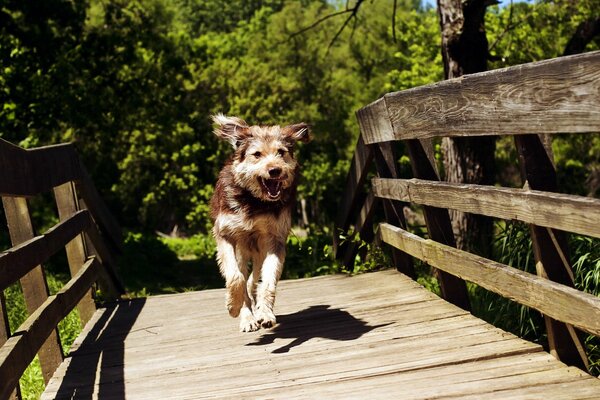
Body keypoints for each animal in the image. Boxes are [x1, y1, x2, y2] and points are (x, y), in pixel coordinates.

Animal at [210, 113, 310, 332]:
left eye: (281, 152)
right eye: (257, 154)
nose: (275, 170)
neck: (255, 202)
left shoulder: (275, 240)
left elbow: (268, 281)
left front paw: (265, 312)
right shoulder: (226, 235)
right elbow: (235, 277)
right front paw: (233, 306)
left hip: (258, 251)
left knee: (253, 281)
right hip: (242, 250)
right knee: (242, 277)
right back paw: (247, 317)